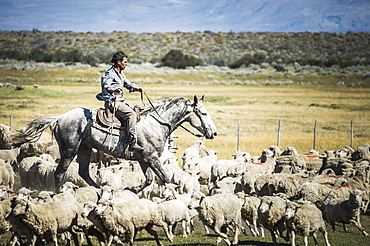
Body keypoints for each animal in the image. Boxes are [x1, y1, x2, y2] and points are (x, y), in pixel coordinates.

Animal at [11, 95, 218, 192]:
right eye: (204, 113)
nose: (213, 133)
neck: (156, 123)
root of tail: (60, 118)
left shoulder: (144, 159)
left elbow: (149, 180)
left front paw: (132, 190)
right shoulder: (152, 158)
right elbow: (166, 179)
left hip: (85, 150)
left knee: (84, 172)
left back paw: (101, 189)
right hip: (69, 151)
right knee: (59, 173)